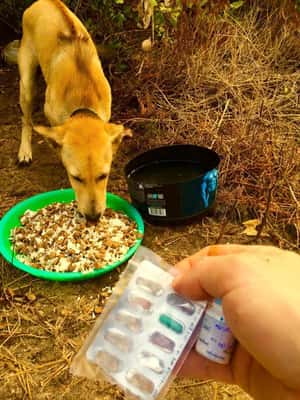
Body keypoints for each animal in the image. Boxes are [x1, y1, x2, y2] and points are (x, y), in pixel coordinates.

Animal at [18, 0, 131, 219]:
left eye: (104, 175)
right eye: (75, 177)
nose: (93, 218)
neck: (83, 106)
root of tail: (42, 2)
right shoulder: (51, 116)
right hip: (27, 83)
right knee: (26, 120)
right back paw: (24, 151)